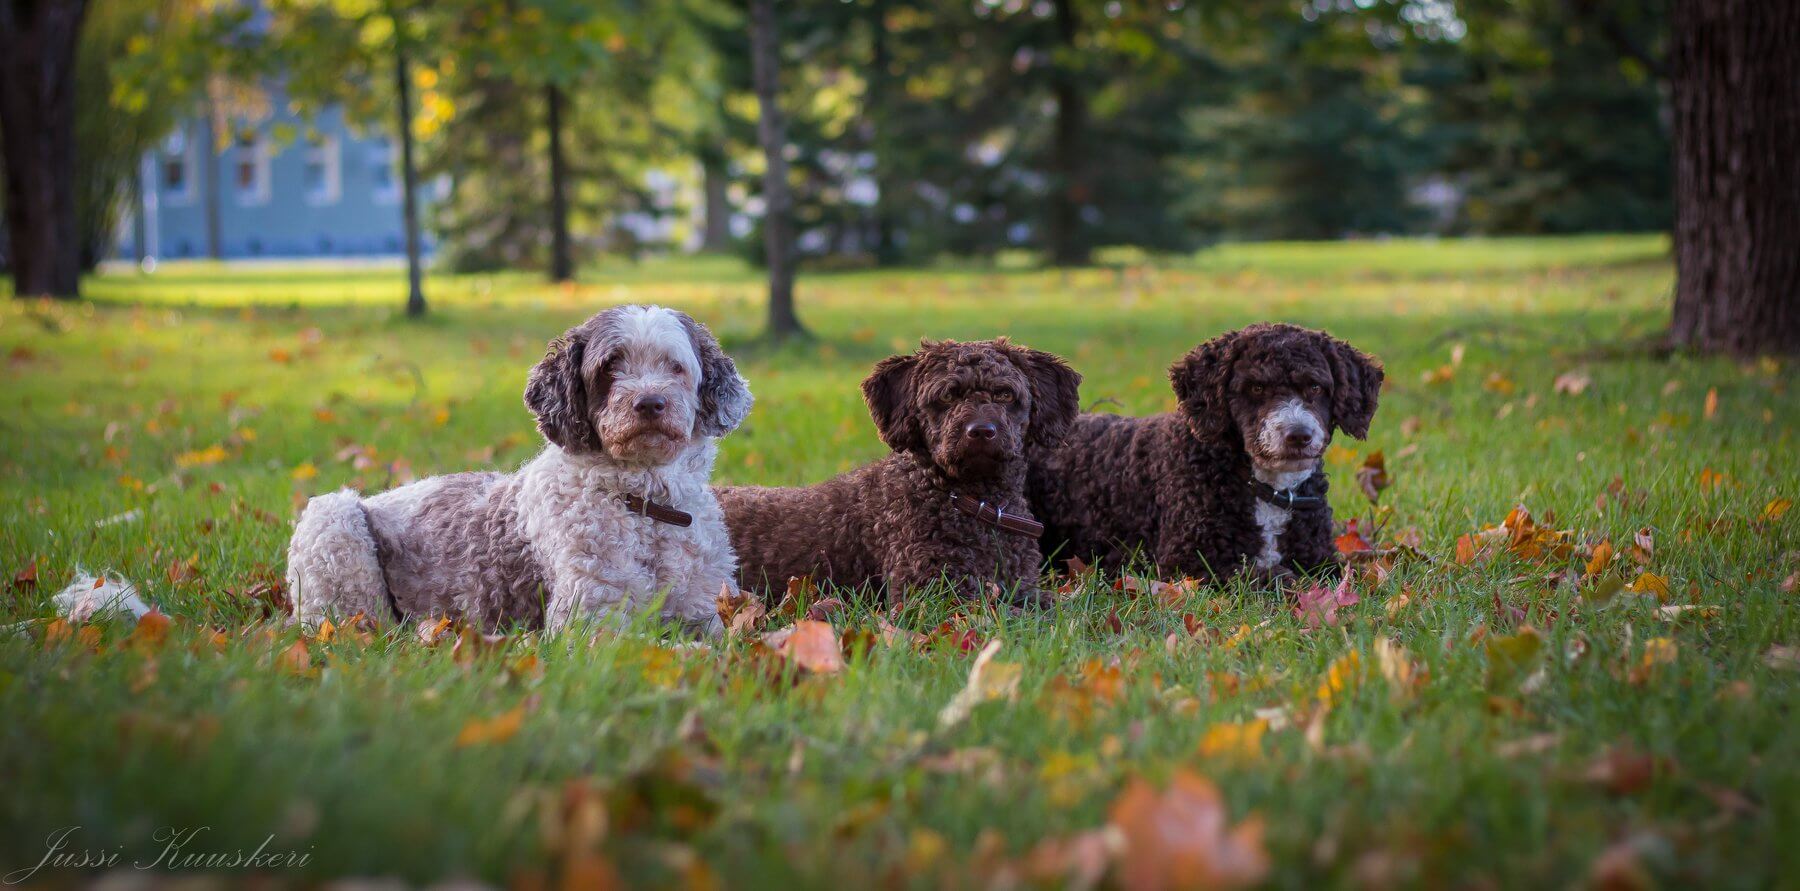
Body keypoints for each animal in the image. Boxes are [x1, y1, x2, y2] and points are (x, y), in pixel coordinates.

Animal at [288, 306, 752, 633]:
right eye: (610, 366)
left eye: (675, 365)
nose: (651, 403)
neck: (647, 507)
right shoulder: (591, 621)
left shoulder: (705, 609)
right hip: (333, 524)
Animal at [716, 340, 1080, 608]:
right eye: (947, 395)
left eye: (1005, 394)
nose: (980, 431)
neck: (975, 503)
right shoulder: (930, 594)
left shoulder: (1022, 585)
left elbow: (1060, 604)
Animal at [1029, 324, 1375, 583]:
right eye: (1256, 388)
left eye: (1316, 388)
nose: (1298, 435)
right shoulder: (1190, 561)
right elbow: (1275, 576)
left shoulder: (1319, 556)